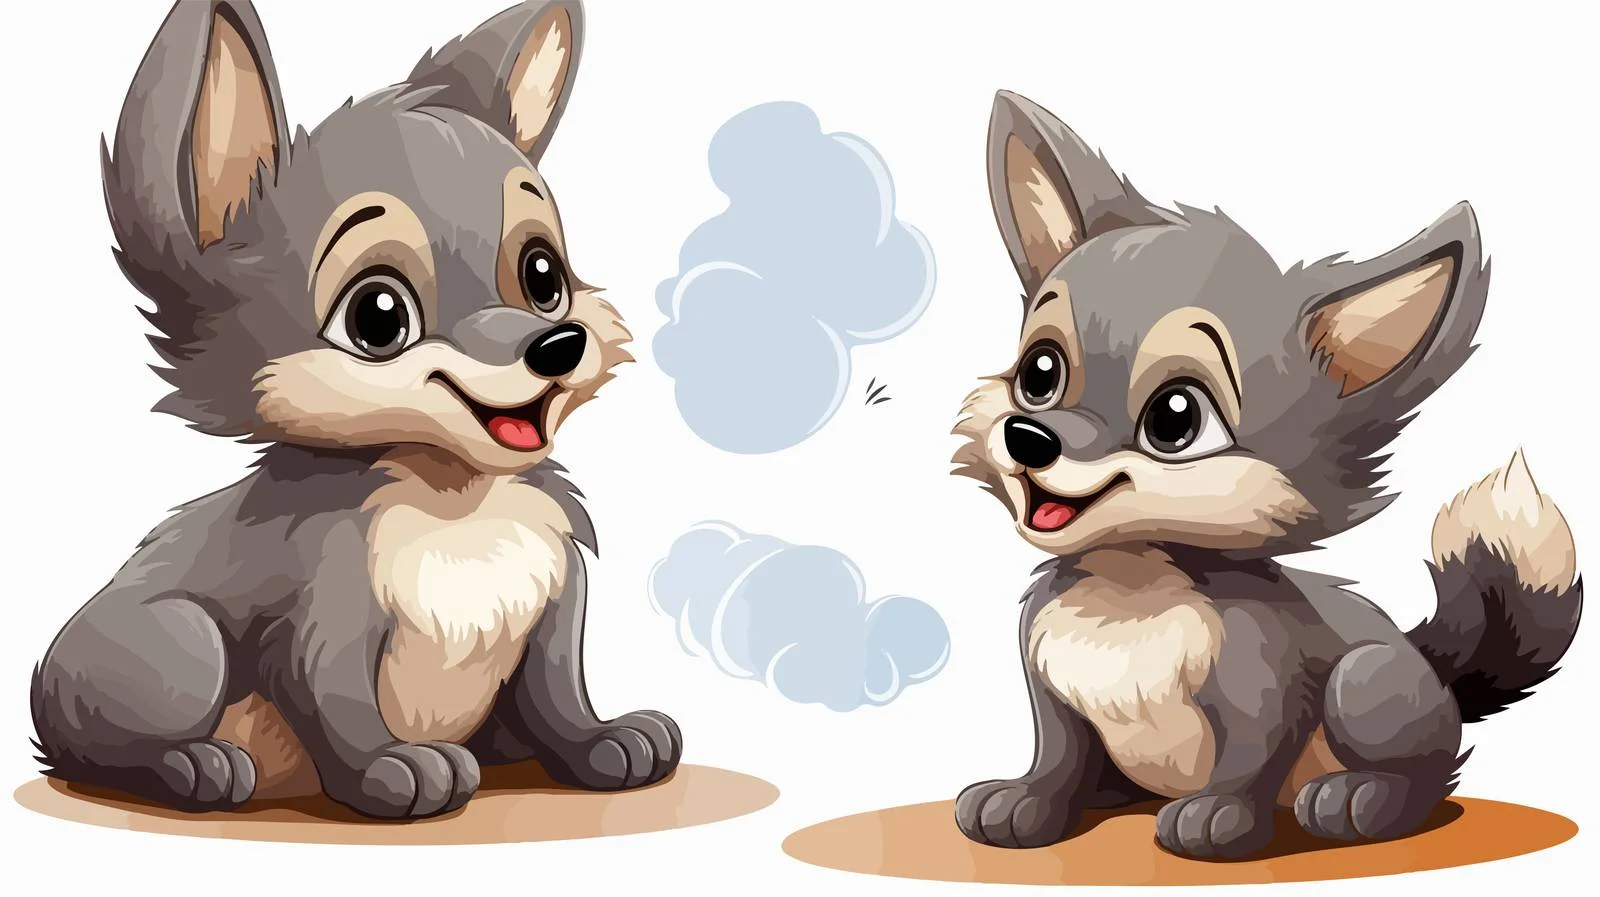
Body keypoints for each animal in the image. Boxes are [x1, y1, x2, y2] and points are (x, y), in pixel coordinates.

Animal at [29, 0, 682, 819]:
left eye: (543, 277)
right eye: (378, 316)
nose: (557, 343)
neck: (456, 501)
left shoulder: (556, 596)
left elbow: (560, 690)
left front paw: (606, 741)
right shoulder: (322, 609)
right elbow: (334, 700)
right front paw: (392, 769)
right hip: (179, 644)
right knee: (102, 747)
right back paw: (196, 765)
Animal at [951, 89, 1582, 859]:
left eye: (1175, 419)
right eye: (1039, 373)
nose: (1029, 436)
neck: (1127, 589)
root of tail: (1428, 663)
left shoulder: (1265, 680)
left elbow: (1252, 755)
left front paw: (1217, 815)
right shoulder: (1051, 689)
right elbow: (1058, 755)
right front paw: (1026, 802)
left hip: (1364, 683)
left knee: (1425, 772)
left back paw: (1358, 800)